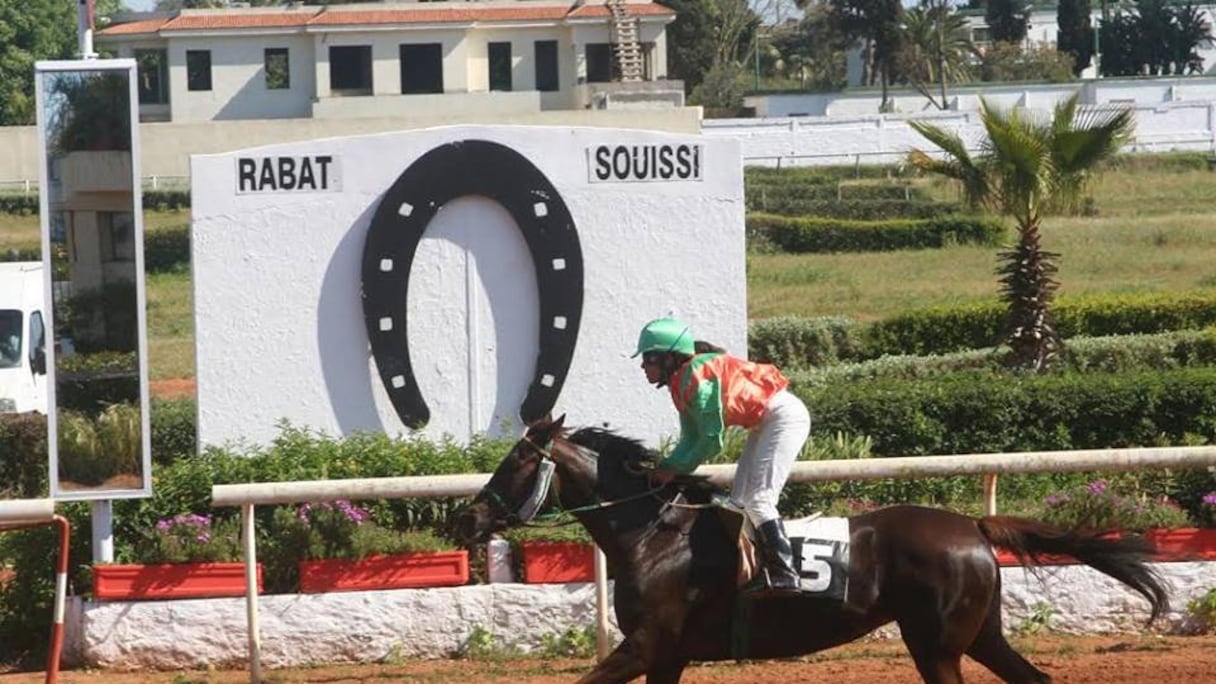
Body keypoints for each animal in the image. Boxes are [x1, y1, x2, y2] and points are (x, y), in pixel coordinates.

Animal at [457, 416, 1167, 681]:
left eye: (516, 461)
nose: (469, 516)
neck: (655, 537)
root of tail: (971, 526)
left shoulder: (647, 643)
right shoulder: (667, 656)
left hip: (936, 643)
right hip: (978, 633)